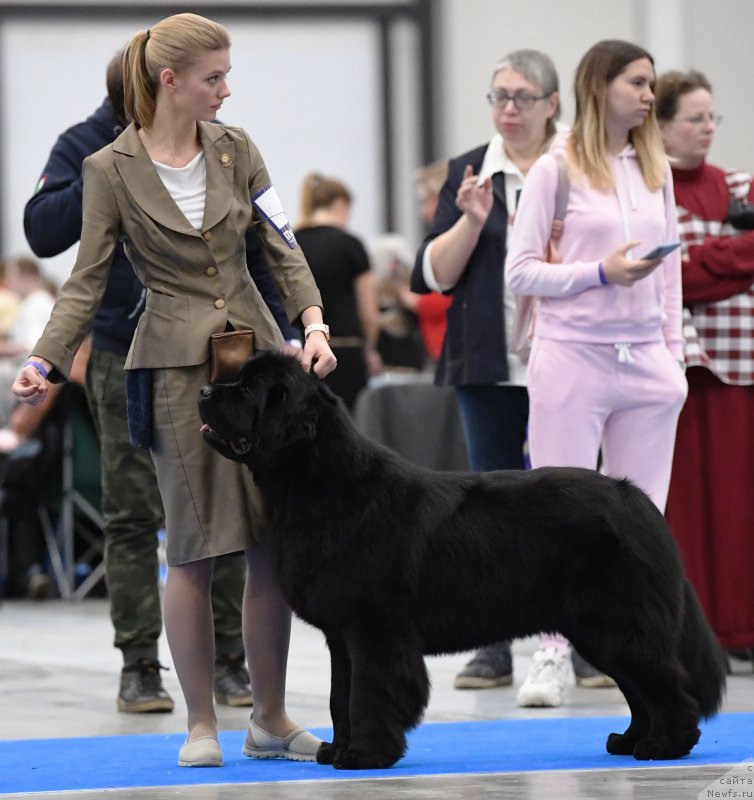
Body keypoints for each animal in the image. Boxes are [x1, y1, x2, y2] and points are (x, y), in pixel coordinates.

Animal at [197, 354, 724, 768]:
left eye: (246, 390)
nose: (202, 389)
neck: (322, 489)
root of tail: (636, 500)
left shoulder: (374, 630)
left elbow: (368, 693)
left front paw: (365, 755)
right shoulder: (342, 636)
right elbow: (338, 696)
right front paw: (336, 749)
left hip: (617, 623)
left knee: (666, 684)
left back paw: (666, 745)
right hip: (597, 630)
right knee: (639, 687)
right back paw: (631, 740)